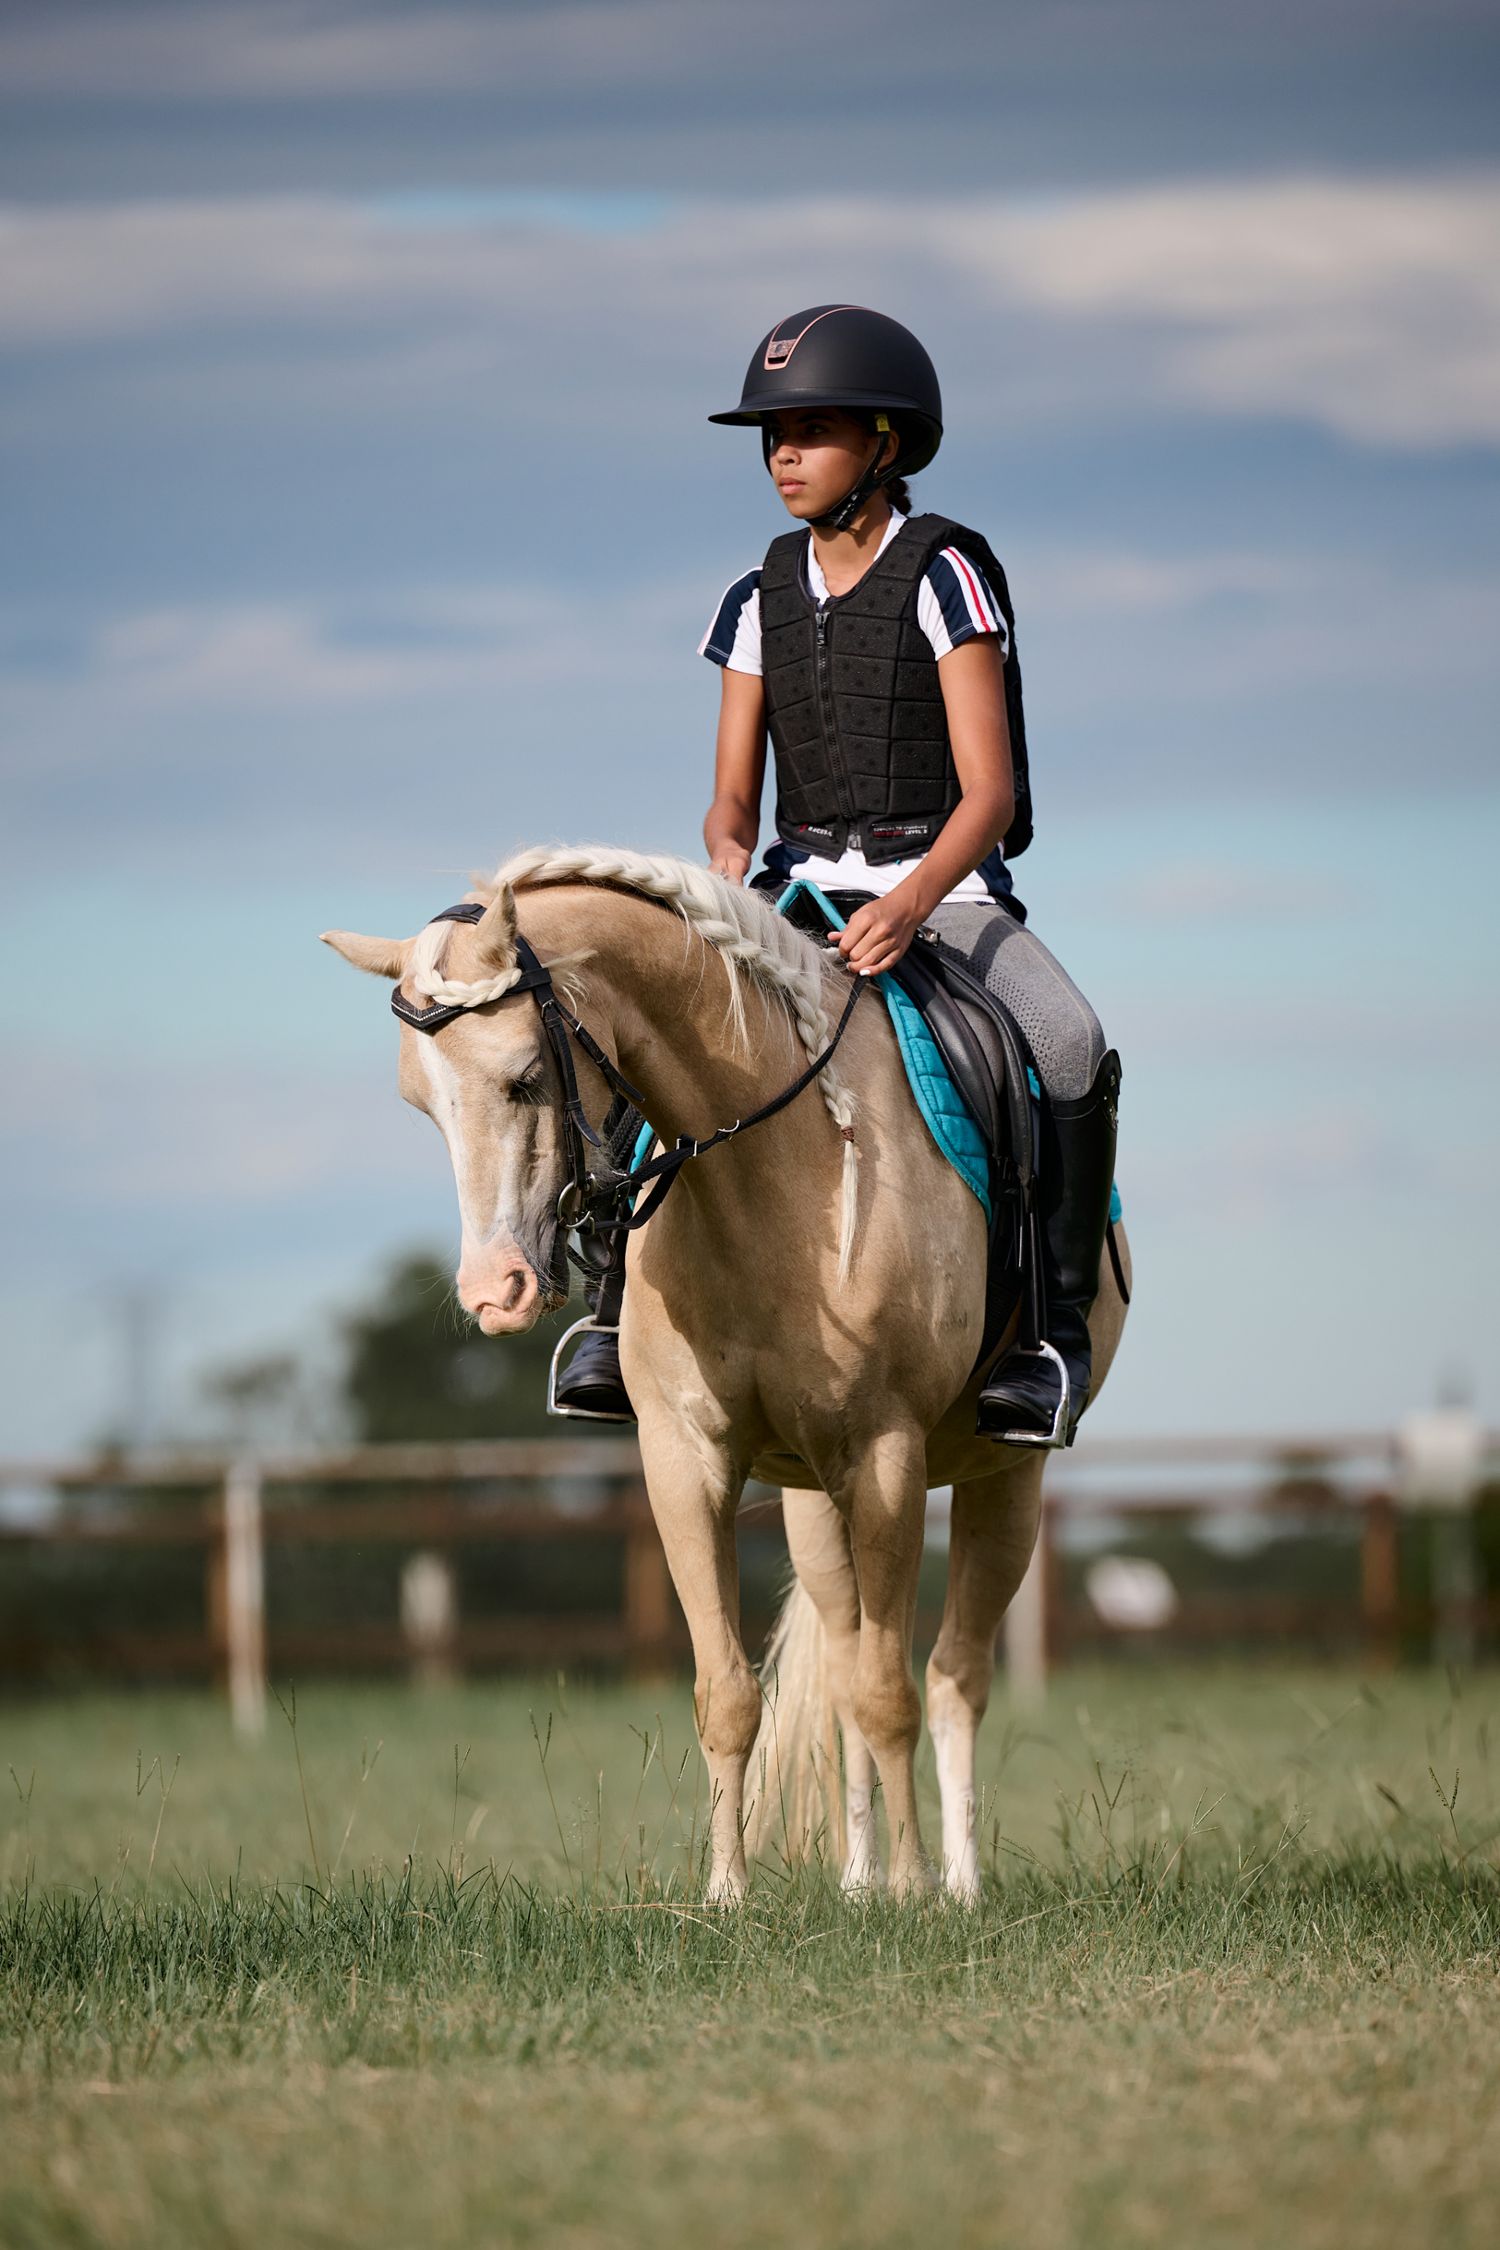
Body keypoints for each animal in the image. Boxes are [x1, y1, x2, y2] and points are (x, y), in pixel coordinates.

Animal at [322, 844, 1131, 1901]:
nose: (494, 1292)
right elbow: (731, 1694)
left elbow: (892, 1691)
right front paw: (727, 1897)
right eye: (422, 1104)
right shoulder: (687, 1457)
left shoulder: (886, 1455)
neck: (771, 1172)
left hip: (1003, 1478)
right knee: (845, 1670)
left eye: (526, 1079)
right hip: (814, 1504)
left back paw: (953, 1887)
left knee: (955, 1676)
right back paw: (857, 1883)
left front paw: (915, 1893)